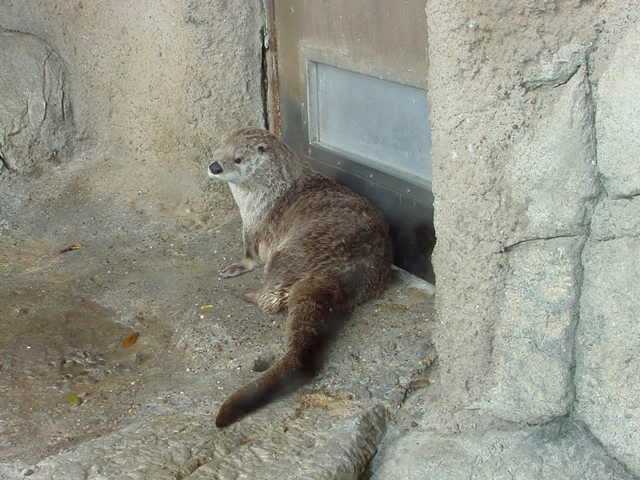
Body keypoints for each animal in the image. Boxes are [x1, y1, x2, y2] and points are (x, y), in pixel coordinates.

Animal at [208, 128, 392, 428]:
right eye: (217, 151)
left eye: (237, 159)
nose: (215, 167)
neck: (267, 195)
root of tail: (339, 271)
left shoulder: (255, 228)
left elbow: (250, 256)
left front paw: (235, 267)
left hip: (285, 256)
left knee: (270, 299)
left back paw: (248, 295)